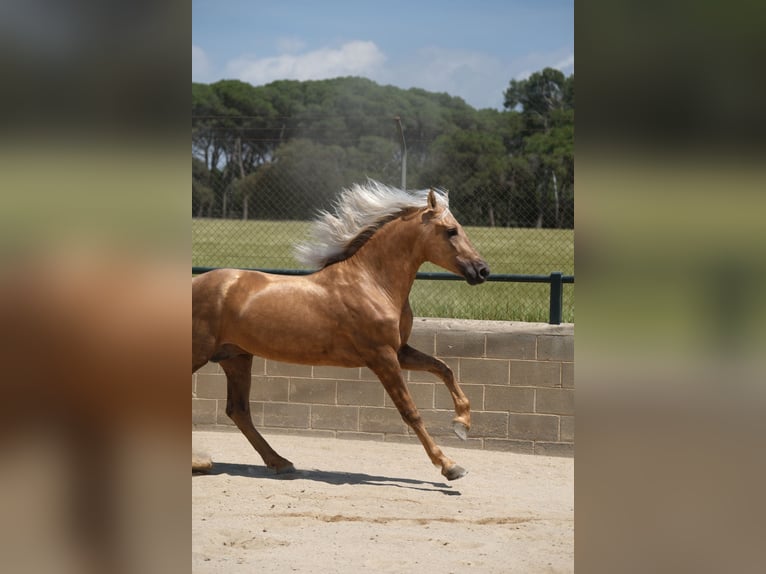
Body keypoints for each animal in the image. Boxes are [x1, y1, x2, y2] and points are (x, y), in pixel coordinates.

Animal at [194, 181, 492, 482]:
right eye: (451, 231)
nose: (482, 271)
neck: (372, 282)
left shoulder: (400, 351)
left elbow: (444, 368)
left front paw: (461, 425)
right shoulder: (383, 357)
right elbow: (410, 411)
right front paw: (450, 465)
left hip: (236, 358)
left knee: (239, 412)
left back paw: (280, 462)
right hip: (201, 354)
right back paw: (204, 463)